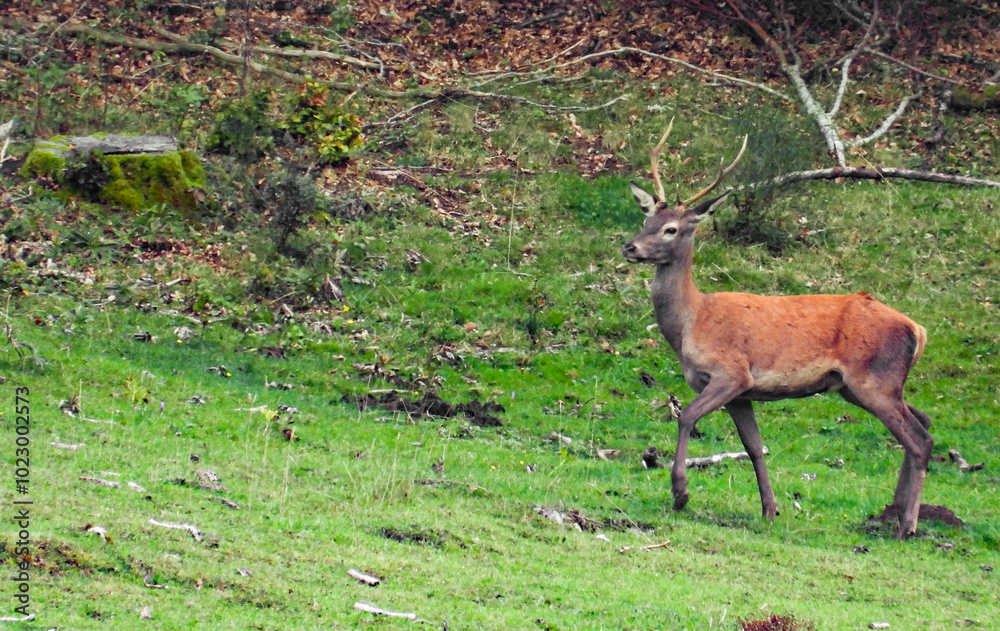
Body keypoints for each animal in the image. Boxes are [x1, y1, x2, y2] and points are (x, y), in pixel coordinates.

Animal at [621, 120, 933, 539]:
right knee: (925, 425)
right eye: (645, 221)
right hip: (861, 387)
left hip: (874, 380)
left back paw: (907, 525)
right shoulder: (742, 393)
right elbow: (754, 445)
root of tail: (918, 329)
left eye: (670, 229)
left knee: (917, 440)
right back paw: (894, 512)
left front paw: (680, 493)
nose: (631, 247)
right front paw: (770, 509)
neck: (692, 323)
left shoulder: (732, 372)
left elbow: (686, 416)